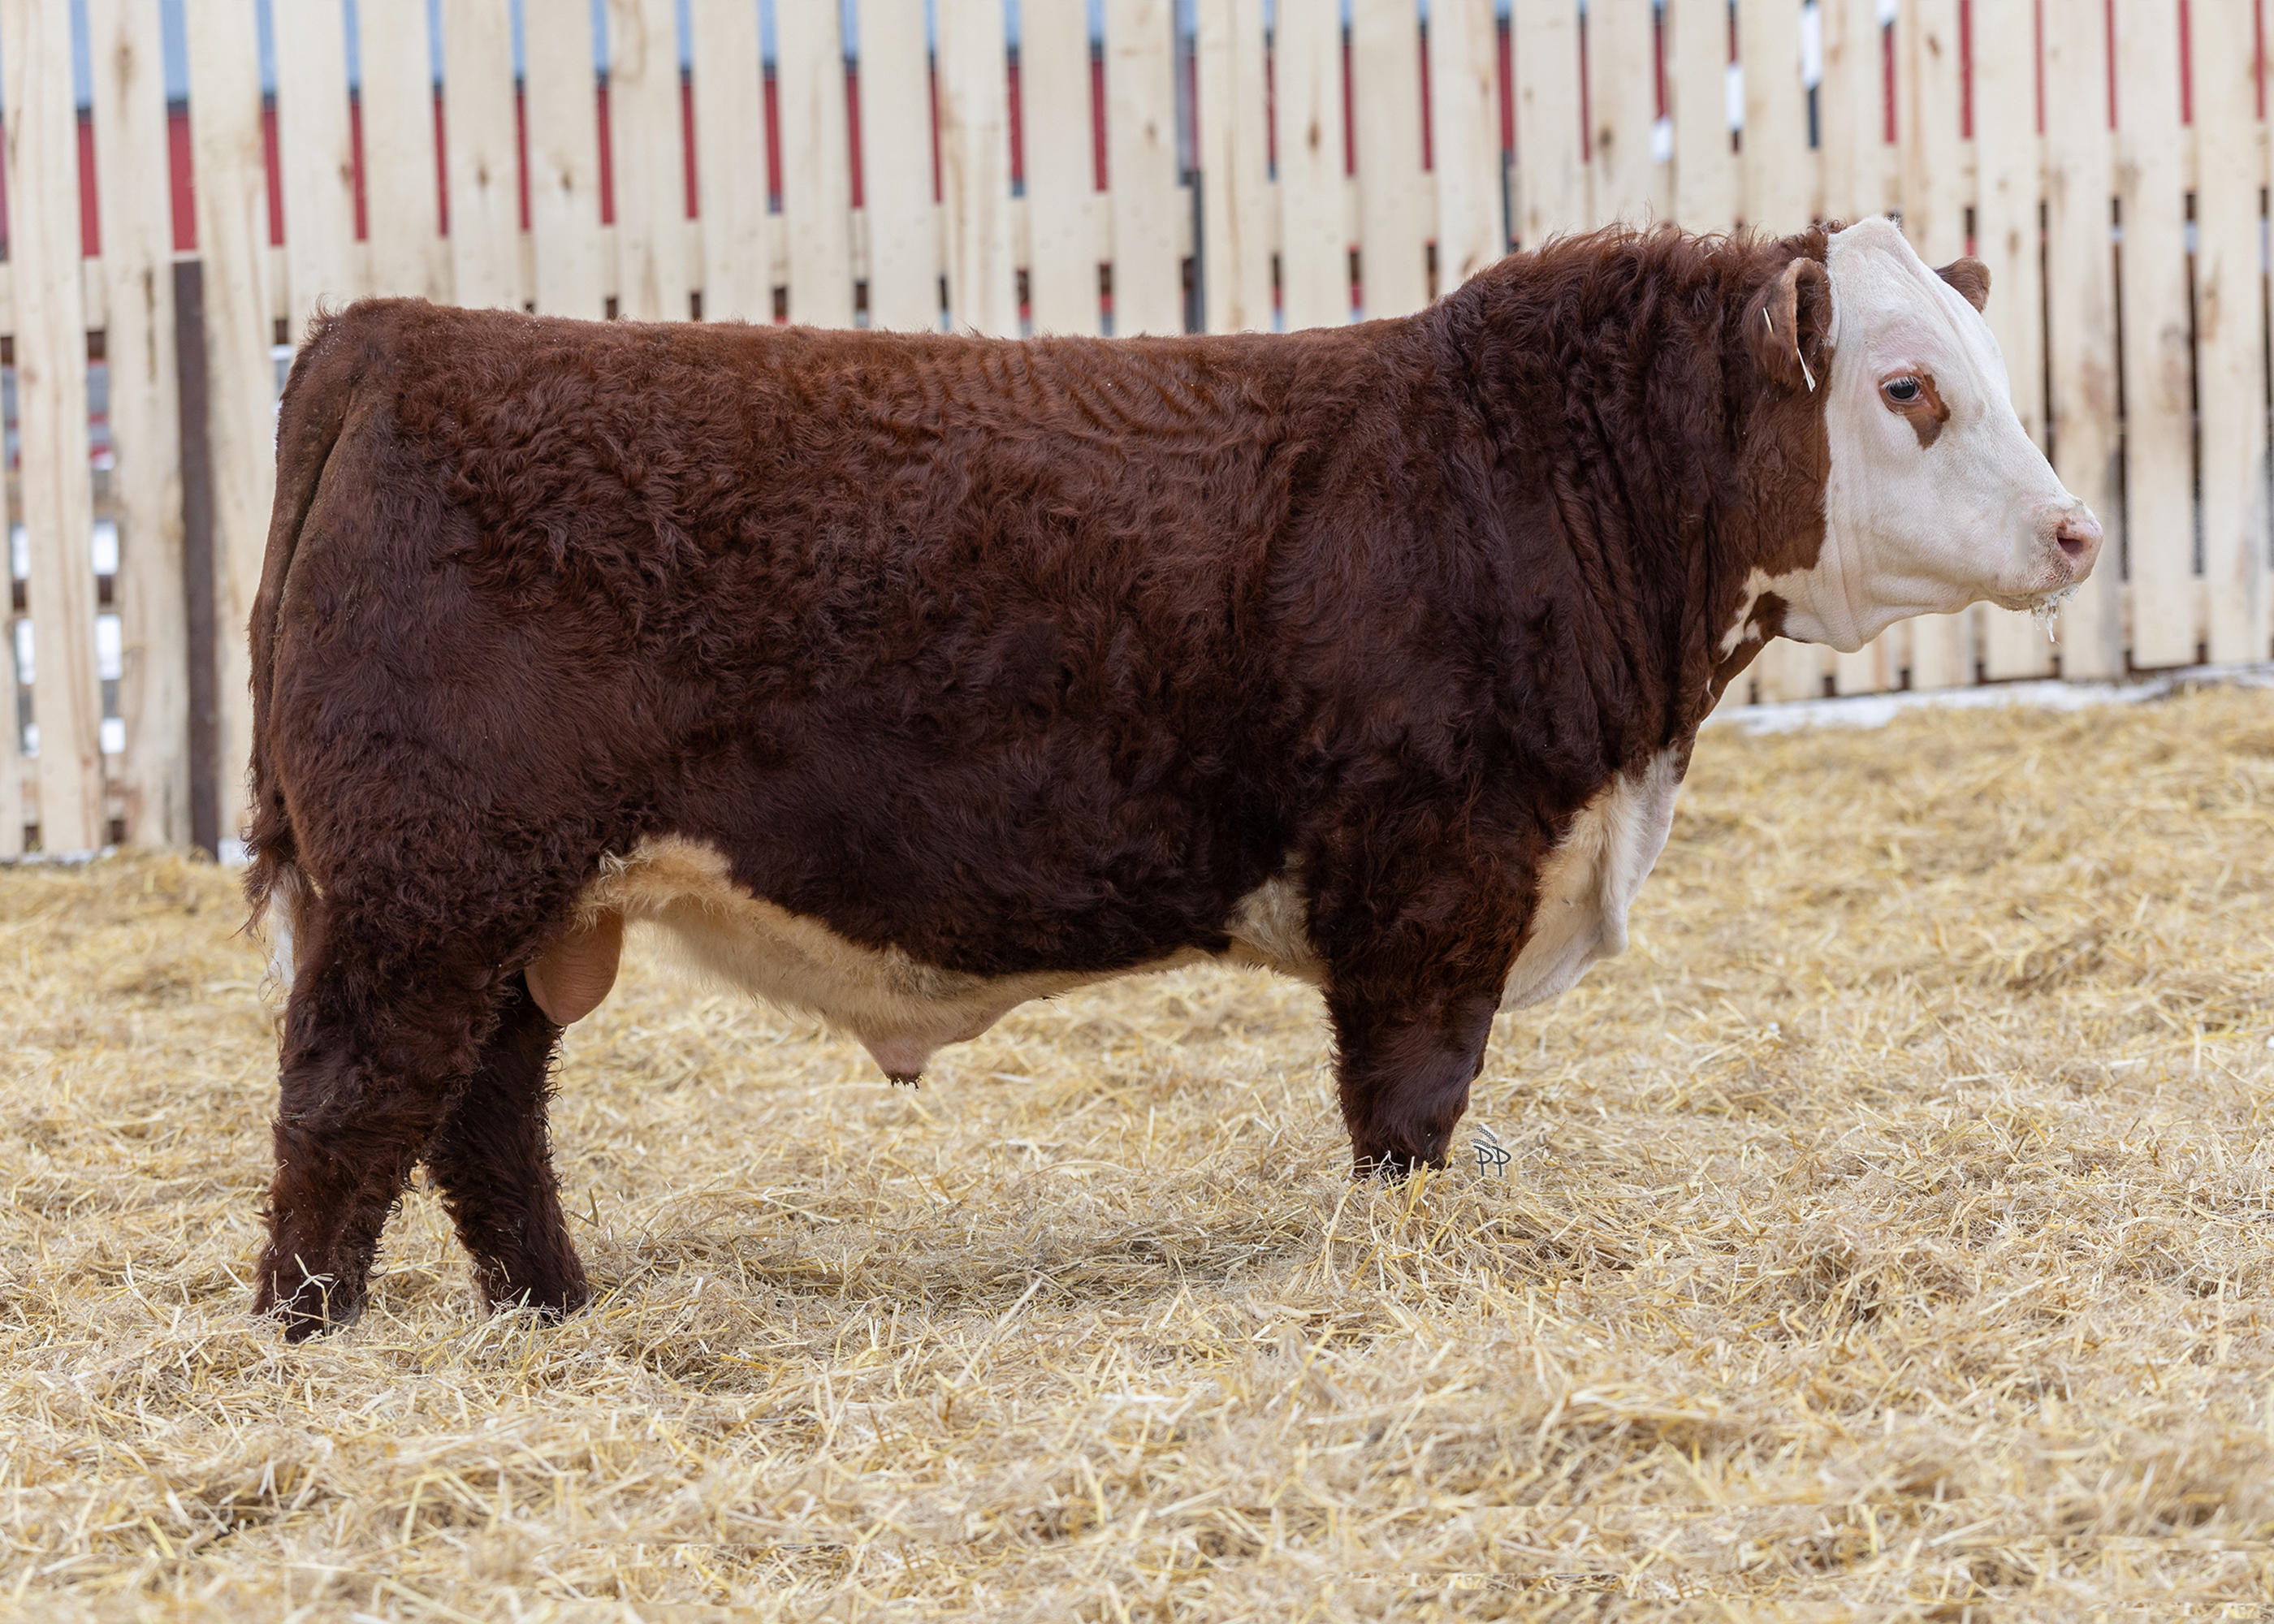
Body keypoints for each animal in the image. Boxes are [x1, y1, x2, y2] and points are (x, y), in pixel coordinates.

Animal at [245, 216, 2100, 1338]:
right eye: (1906, 387)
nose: (2078, 533)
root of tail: (392, 335)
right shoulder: (1430, 877)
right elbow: (1410, 1108)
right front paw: (1400, 1265)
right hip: (426, 884)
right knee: (353, 1102)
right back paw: (309, 1335)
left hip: (506, 903)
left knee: (484, 1109)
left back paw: (556, 1310)